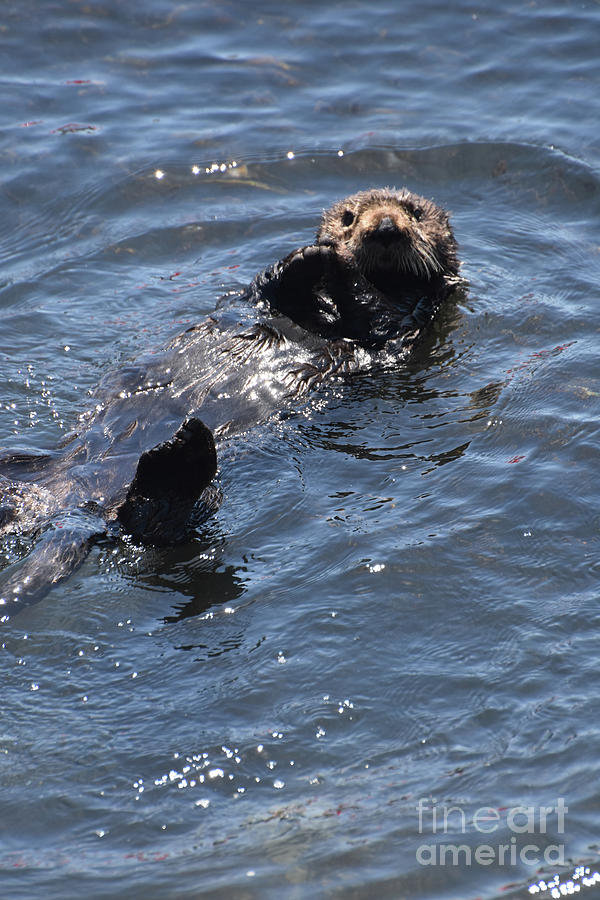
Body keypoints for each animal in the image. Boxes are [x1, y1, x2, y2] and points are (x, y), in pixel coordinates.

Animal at [0, 186, 462, 624]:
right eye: (349, 217)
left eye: (415, 213)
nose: (384, 228)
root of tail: (69, 505)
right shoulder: (254, 298)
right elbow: (266, 288)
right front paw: (307, 257)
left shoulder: (407, 323)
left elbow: (376, 316)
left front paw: (333, 263)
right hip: (26, 465)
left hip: (194, 501)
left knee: (152, 524)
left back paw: (181, 454)